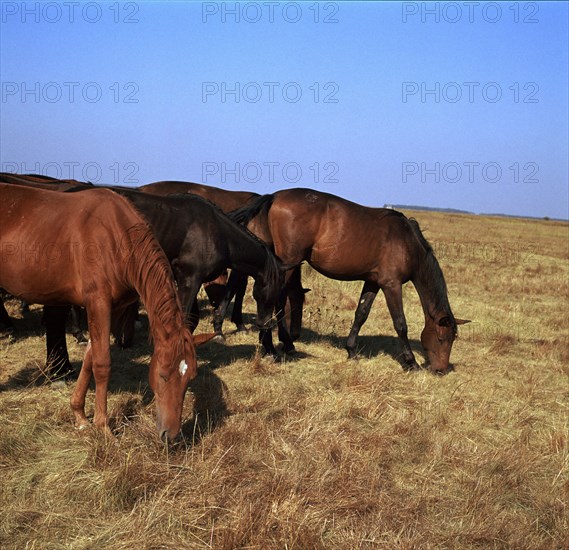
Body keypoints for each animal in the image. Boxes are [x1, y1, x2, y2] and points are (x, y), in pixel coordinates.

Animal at [0, 183, 213, 442]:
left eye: (190, 377)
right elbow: (102, 364)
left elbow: (90, 360)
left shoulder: (110, 308)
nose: (169, 436)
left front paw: (80, 417)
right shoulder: (98, 303)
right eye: (163, 375)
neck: (115, 238)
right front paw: (103, 427)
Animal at [229, 190, 468, 376]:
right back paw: (274, 346)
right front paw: (411, 362)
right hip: (287, 263)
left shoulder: (372, 282)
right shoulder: (391, 285)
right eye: (442, 338)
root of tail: (274, 196)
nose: (440, 370)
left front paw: (351, 351)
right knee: (276, 300)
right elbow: (400, 323)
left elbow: (361, 314)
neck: (407, 242)